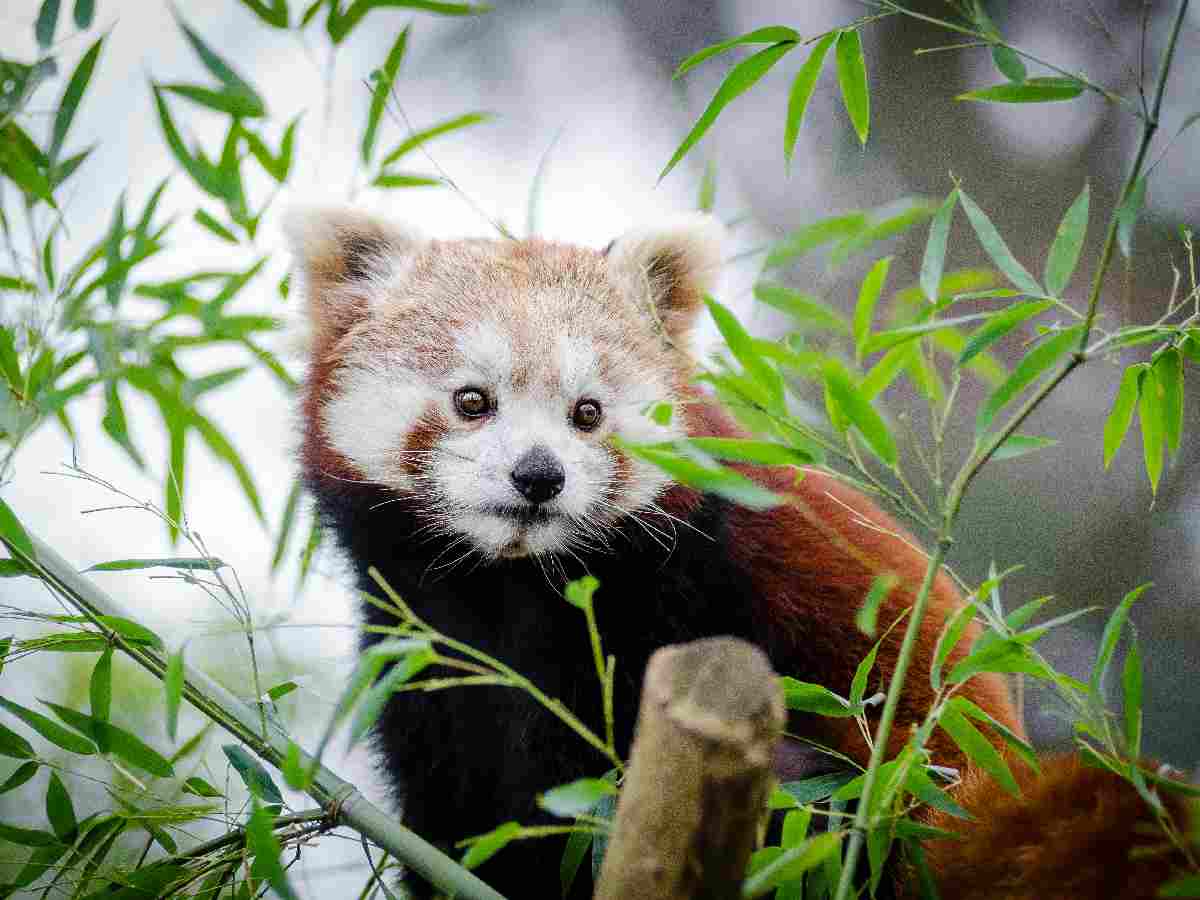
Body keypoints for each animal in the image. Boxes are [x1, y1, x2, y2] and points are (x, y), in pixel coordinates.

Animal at [285, 206, 1195, 900]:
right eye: (472, 401)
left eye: (587, 412)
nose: (538, 476)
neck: (519, 587)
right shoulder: (426, 654)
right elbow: (469, 813)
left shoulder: (688, 590)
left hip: (900, 782)